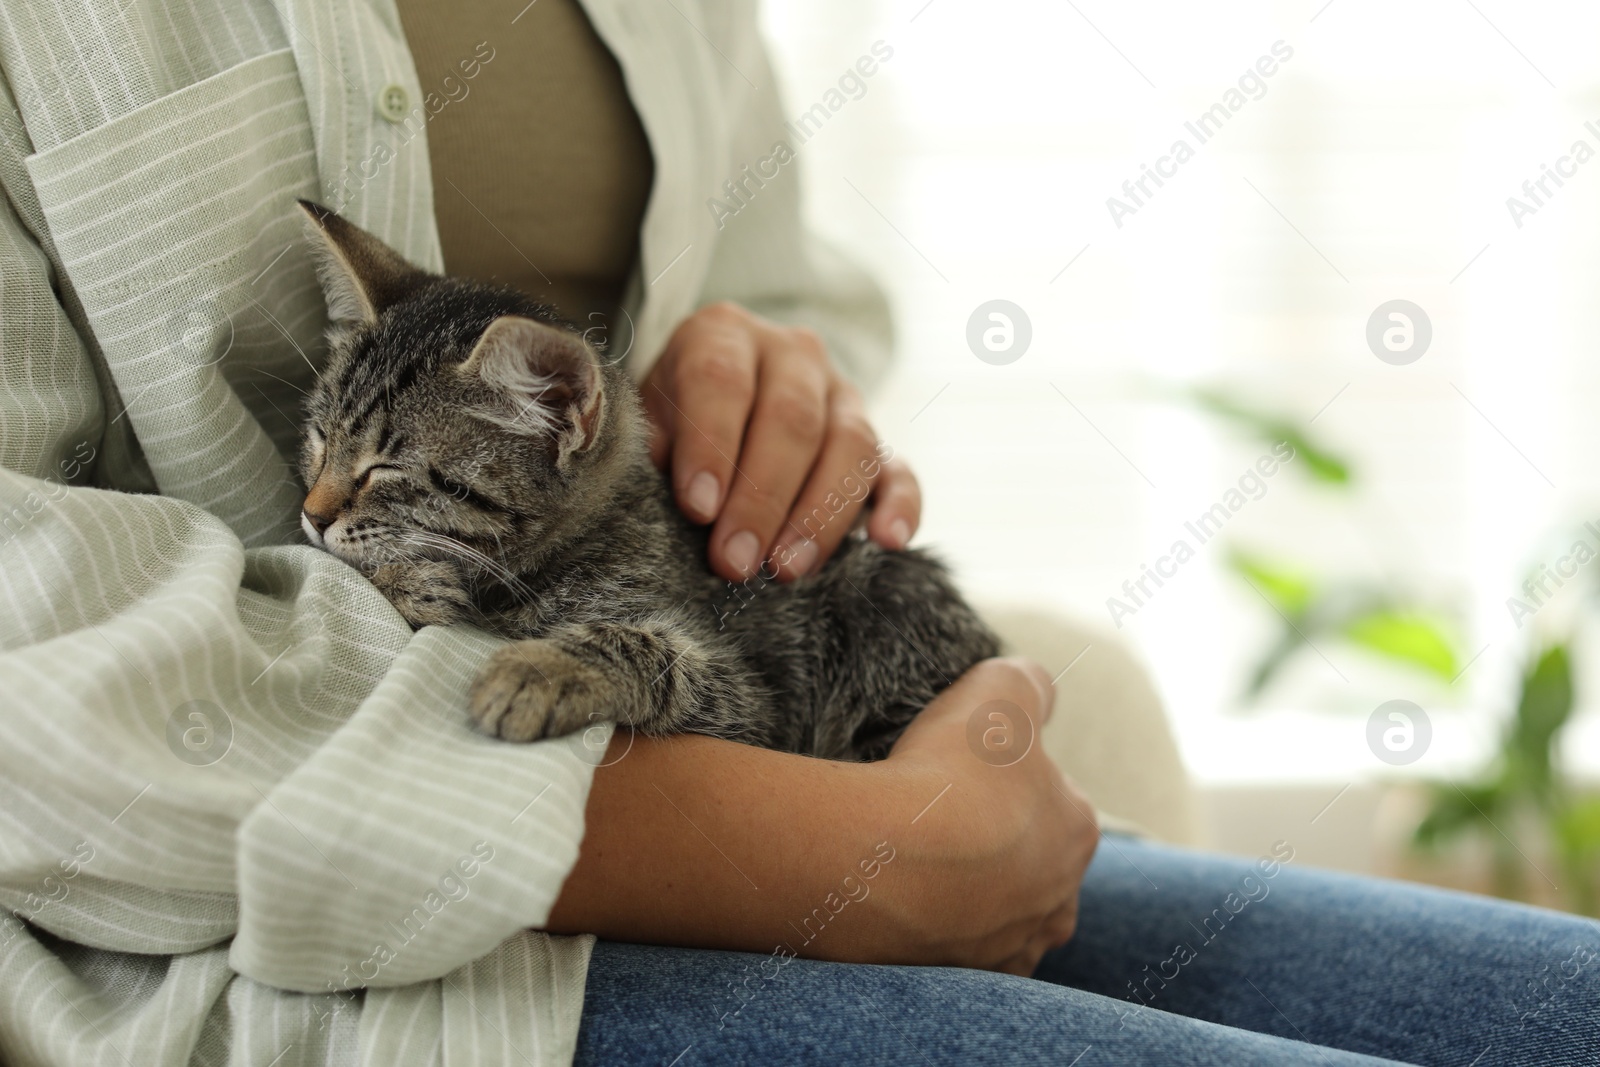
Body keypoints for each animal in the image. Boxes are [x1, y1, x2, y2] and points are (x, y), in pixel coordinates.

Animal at [292, 202, 992, 758]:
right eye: (320, 441)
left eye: (386, 469)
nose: (312, 514)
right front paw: (411, 577)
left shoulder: (757, 706)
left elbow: (648, 648)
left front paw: (542, 668)